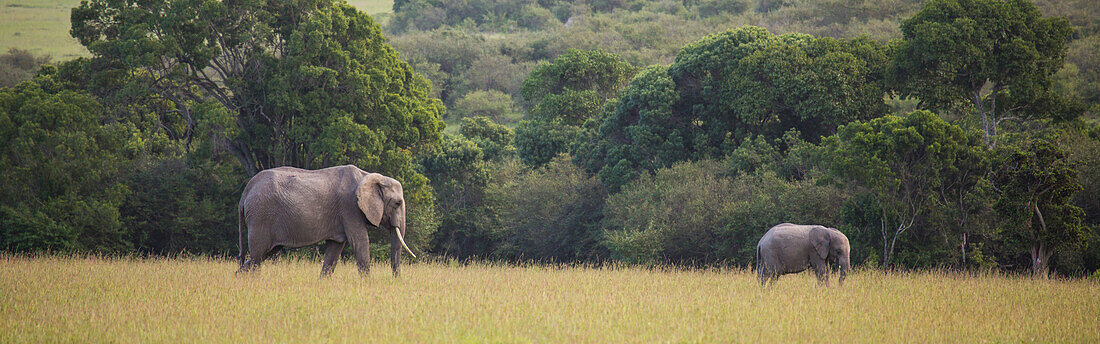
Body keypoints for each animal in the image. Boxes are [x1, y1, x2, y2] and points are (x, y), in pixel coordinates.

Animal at [237, 164, 415, 276]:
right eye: (397, 203)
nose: (396, 280)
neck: (367, 176)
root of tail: (245, 192)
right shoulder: (350, 207)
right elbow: (360, 241)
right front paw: (367, 284)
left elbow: (335, 249)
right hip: (261, 215)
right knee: (257, 255)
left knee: (264, 253)